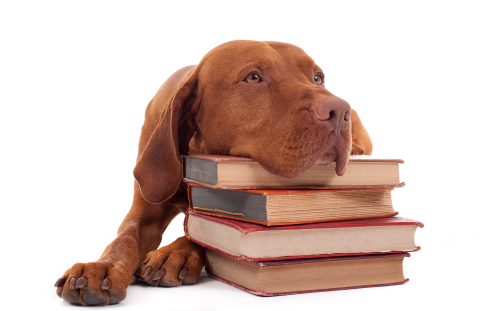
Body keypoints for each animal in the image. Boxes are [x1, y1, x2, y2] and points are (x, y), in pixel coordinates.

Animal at [54, 40, 374, 306]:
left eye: (318, 77)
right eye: (253, 77)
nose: (339, 111)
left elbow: (197, 229)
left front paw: (175, 252)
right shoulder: (144, 209)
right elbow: (124, 238)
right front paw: (103, 267)